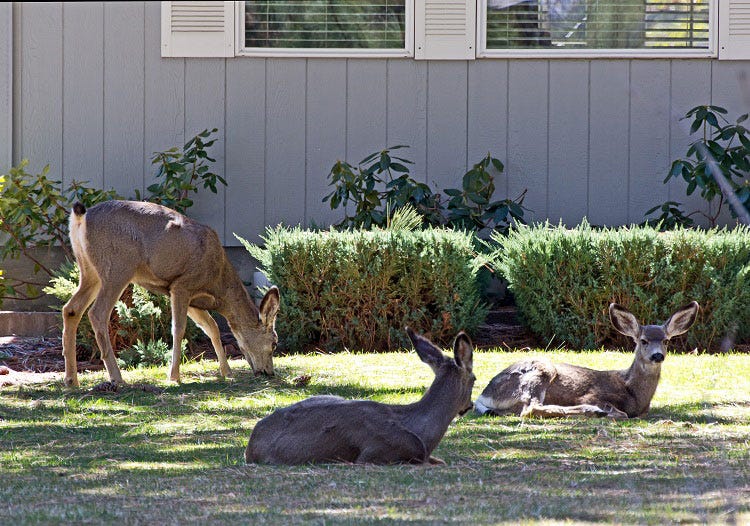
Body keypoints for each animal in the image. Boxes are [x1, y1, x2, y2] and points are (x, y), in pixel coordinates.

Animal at [61, 201, 282, 388]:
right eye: (274, 342)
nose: (268, 372)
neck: (219, 286)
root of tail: (81, 217)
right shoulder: (182, 285)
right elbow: (179, 329)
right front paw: (174, 376)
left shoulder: (190, 298)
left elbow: (211, 327)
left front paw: (227, 372)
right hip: (118, 267)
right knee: (97, 313)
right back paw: (117, 377)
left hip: (89, 270)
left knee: (71, 309)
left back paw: (72, 380)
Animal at [476, 304, 700, 422]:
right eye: (643, 341)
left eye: (666, 340)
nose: (657, 356)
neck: (635, 393)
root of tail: (484, 394)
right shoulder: (593, 394)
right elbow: (621, 413)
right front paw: (605, 411)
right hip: (541, 370)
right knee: (531, 409)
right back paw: (591, 411)